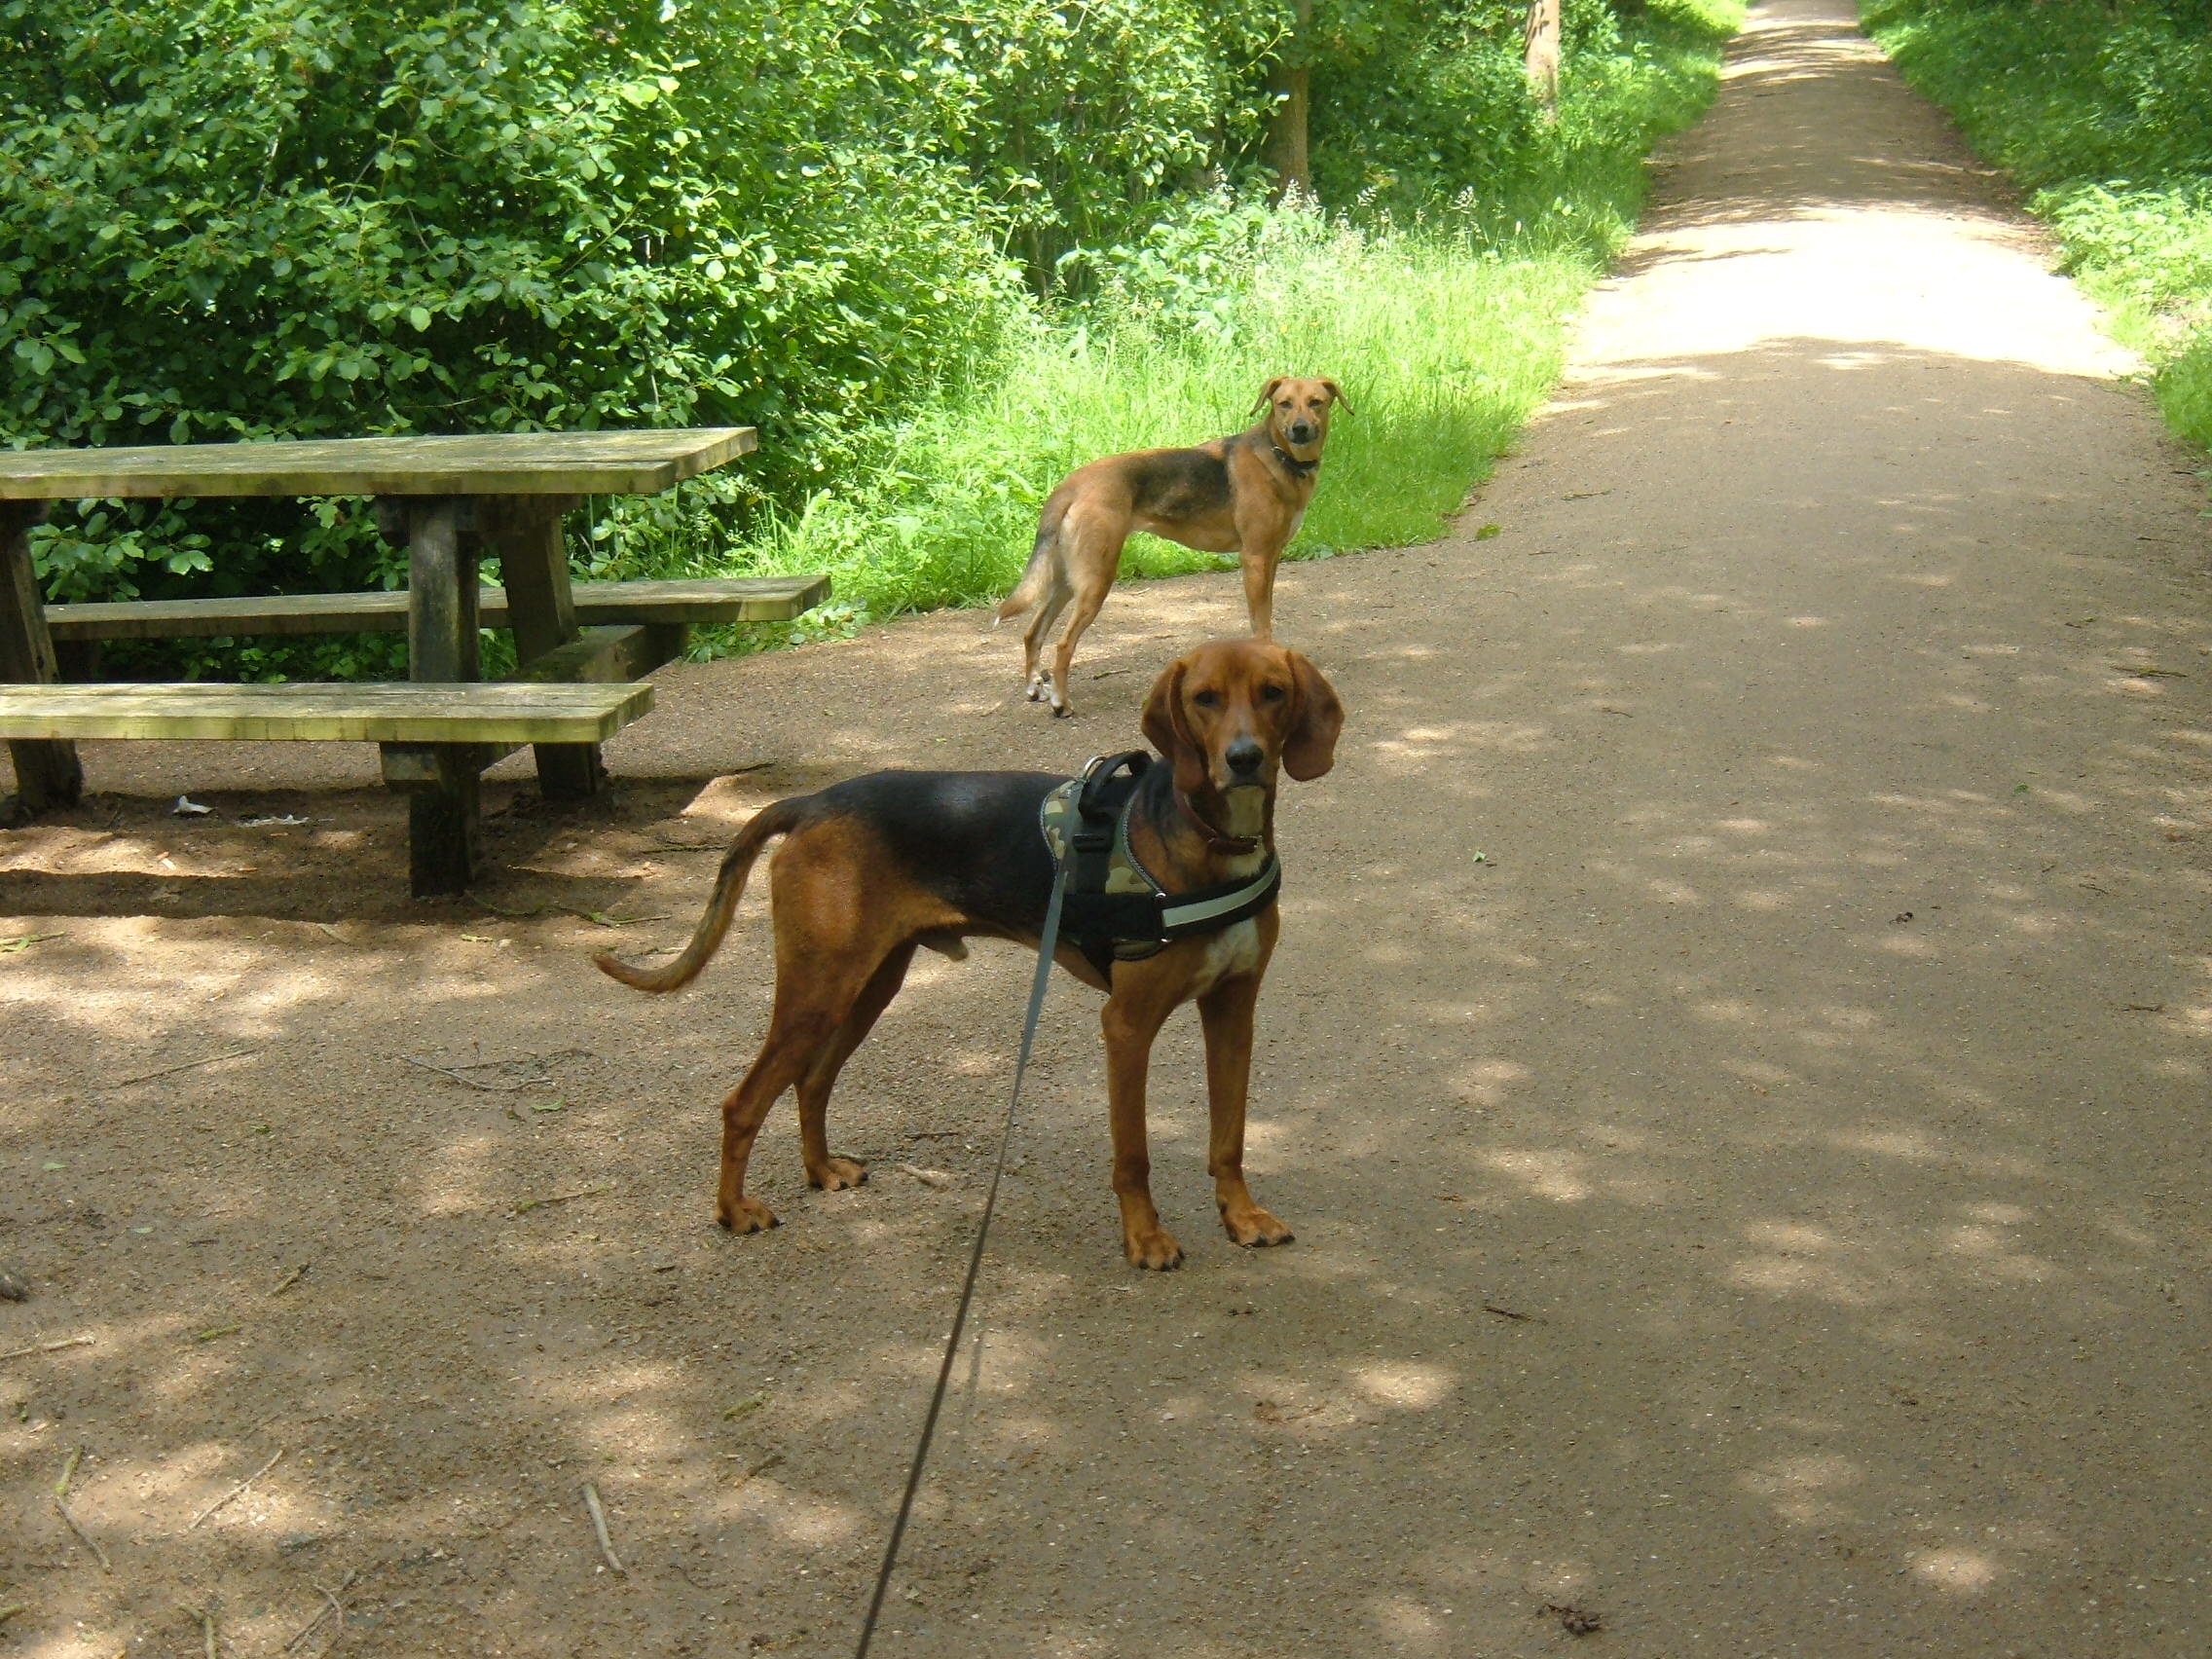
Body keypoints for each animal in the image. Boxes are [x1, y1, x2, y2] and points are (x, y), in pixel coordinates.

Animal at [597, 641, 1336, 1273]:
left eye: (1272, 693)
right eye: (1205, 699)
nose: (1243, 758)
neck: (1210, 839)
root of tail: (810, 802)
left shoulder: (1234, 1009)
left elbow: (1229, 1136)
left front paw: (1241, 1217)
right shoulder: (1127, 1026)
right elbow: (1134, 1154)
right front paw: (1146, 1239)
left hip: (868, 985)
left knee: (813, 1081)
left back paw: (822, 1170)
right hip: (819, 990)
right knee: (741, 1103)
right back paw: (733, 1212)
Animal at [990, 376, 1336, 717]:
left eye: (1316, 402)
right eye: (1284, 403)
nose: (1300, 429)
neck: (1278, 455)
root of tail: (1071, 485)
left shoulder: (1271, 558)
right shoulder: (1255, 558)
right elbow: (1261, 626)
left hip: (1066, 581)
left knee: (1033, 633)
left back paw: (1035, 687)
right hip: (1095, 581)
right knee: (1063, 644)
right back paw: (1061, 702)